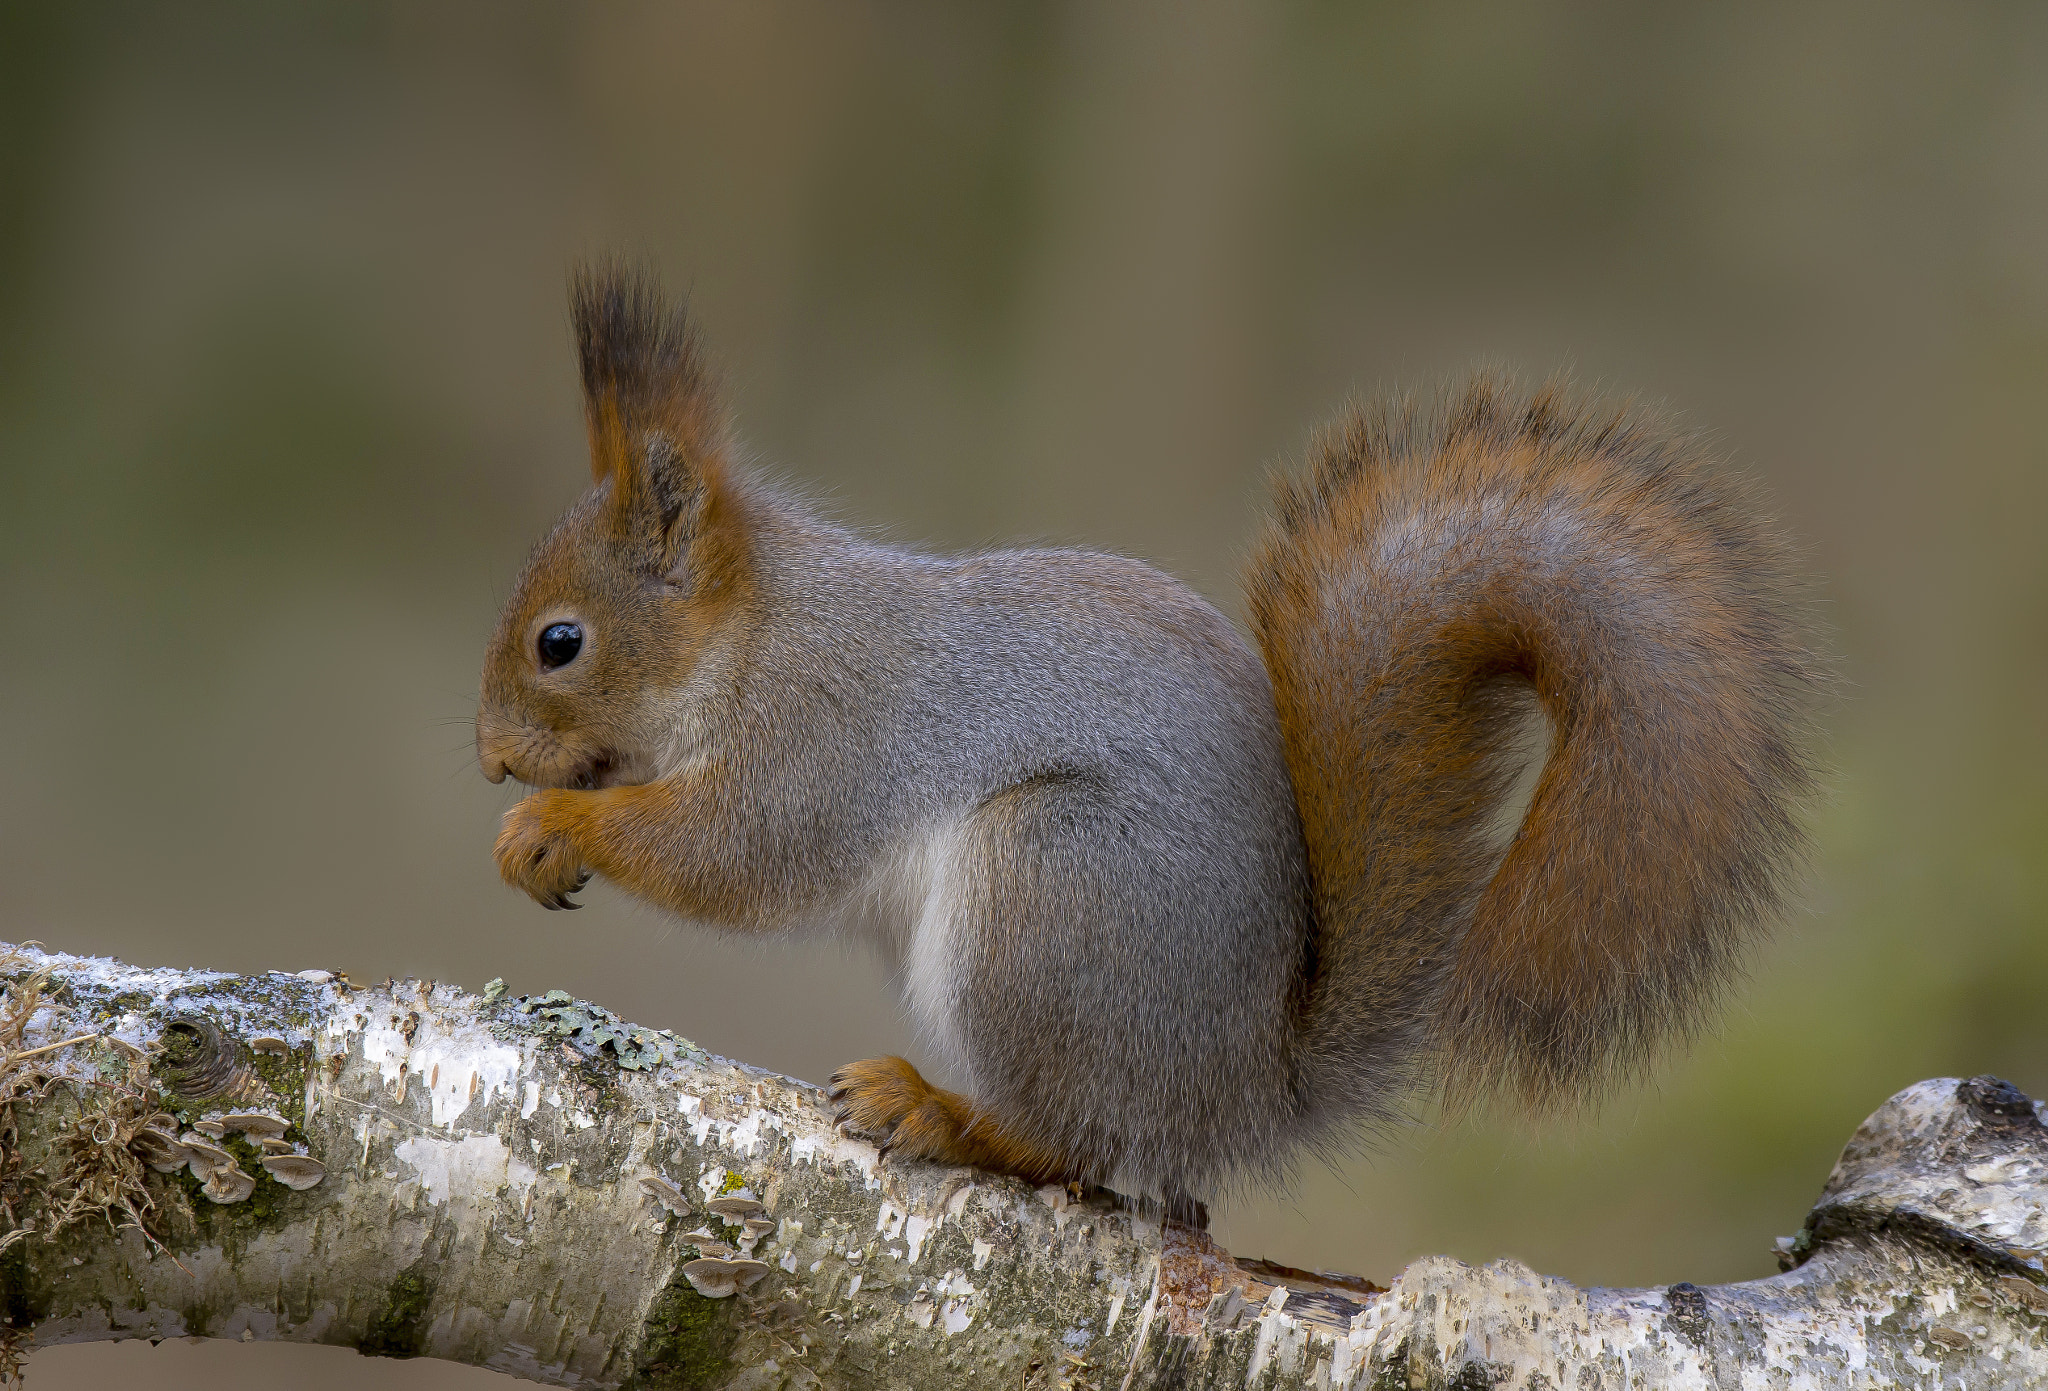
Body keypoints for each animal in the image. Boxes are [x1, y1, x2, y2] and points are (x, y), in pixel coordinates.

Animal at [477, 264, 1819, 1222]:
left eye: (560, 641)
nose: (488, 755)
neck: (750, 638)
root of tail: (1239, 1090)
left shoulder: (824, 735)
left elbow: (734, 857)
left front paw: (551, 825)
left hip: (1048, 890)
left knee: (1070, 1140)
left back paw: (941, 1113)